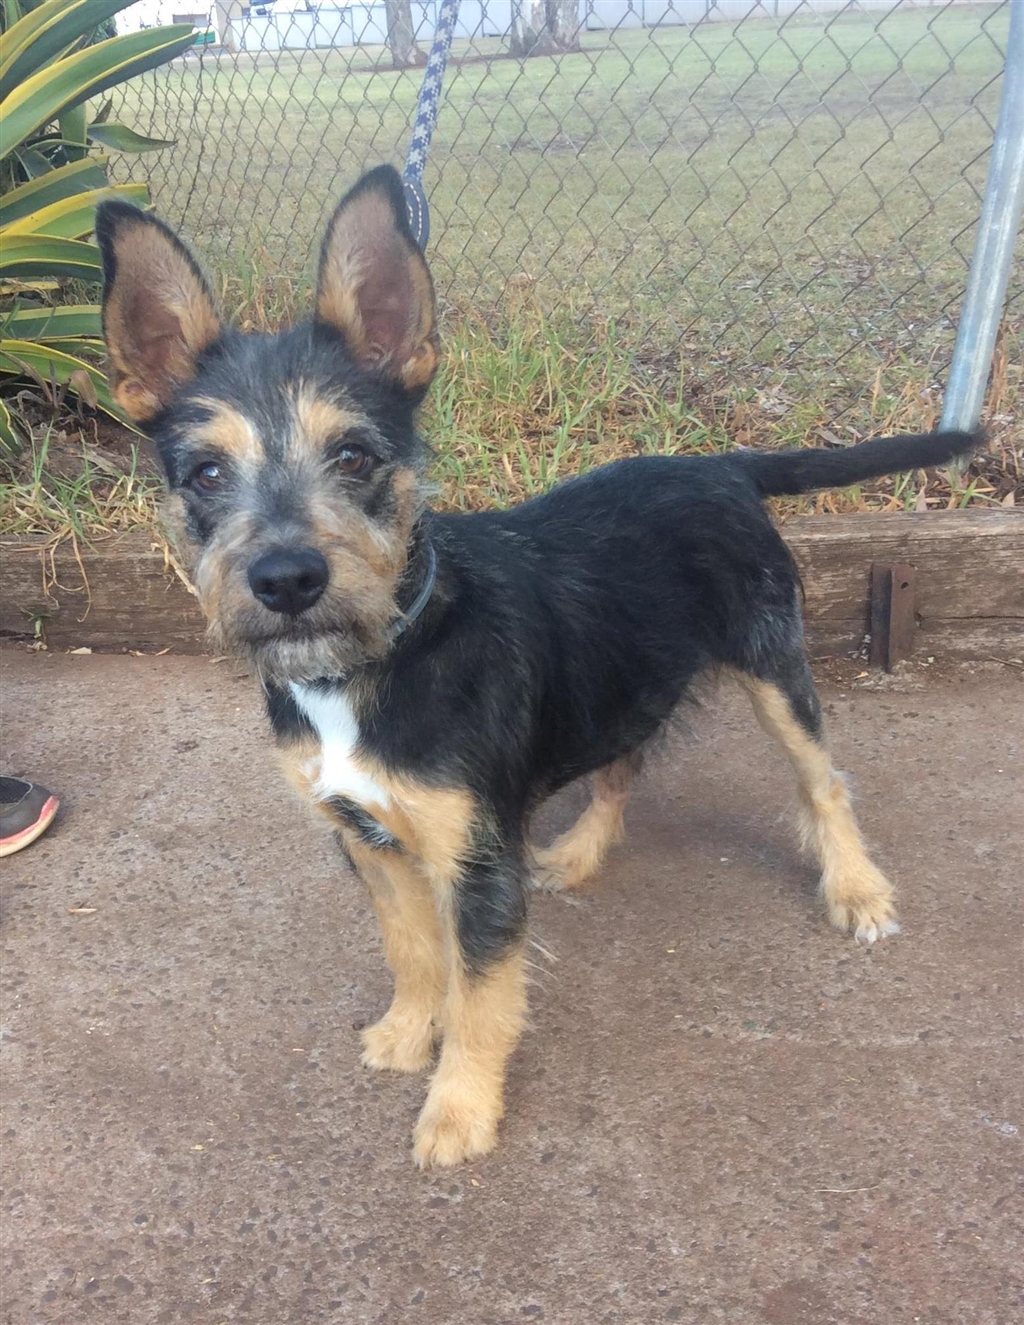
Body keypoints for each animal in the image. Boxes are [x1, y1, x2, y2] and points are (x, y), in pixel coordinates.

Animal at [96, 165, 979, 1168]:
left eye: (353, 454)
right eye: (206, 473)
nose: (286, 579)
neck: (381, 655)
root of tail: (722, 463)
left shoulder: (478, 861)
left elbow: (482, 991)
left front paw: (458, 1108)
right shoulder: (367, 838)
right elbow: (413, 950)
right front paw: (409, 1031)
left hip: (773, 664)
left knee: (821, 780)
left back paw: (858, 890)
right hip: (627, 675)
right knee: (624, 764)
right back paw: (586, 852)